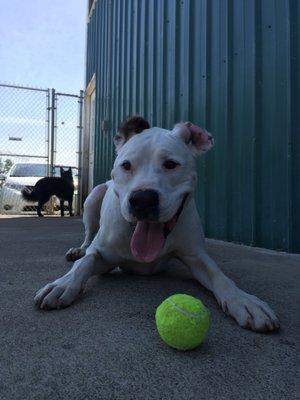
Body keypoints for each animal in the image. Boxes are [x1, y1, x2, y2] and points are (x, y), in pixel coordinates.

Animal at [34, 117, 278, 332]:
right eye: (126, 165)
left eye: (171, 164)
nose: (143, 199)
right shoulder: (101, 253)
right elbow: (83, 264)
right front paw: (63, 284)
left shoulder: (196, 255)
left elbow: (219, 276)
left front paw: (244, 300)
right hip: (93, 198)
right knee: (87, 236)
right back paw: (78, 249)